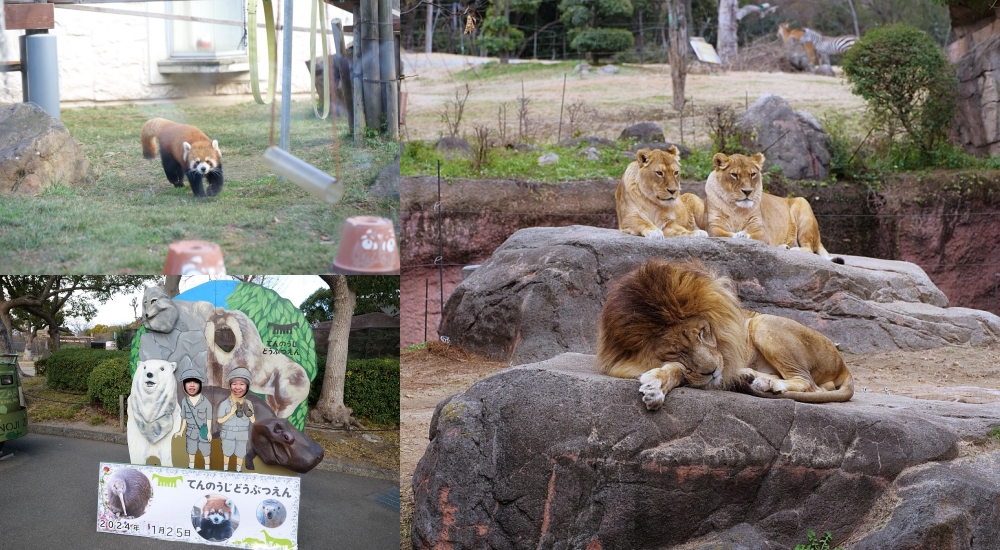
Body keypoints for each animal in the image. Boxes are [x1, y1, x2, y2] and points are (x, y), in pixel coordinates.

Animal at [596, 260, 856, 412]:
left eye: (702, 333)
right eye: (676, 350)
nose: (712, 371)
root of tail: (843, 365)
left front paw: (654, 386)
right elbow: (678, 368)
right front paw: (657, 385)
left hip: (763, 323)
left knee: (810, 384)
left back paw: (771, 384)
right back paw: (753, 377)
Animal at [704, 151, 844, 264]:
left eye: (752, 174)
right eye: (734, 175)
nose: (748, 191)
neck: (736, 209)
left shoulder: (761, 231)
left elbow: (753, 236)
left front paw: (742, 234)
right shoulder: (713, 226)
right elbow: (724, 234)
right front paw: (739, 234)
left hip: (803, 205)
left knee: (809, 248)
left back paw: (793, 249)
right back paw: (784, 247)